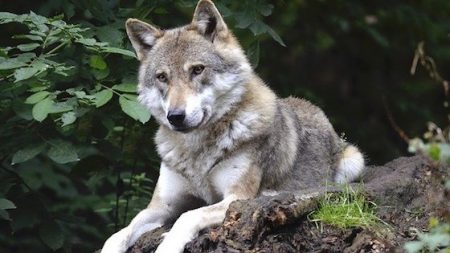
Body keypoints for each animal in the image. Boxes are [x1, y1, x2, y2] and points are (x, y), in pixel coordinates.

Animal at [100, 0, 364, 252]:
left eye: (197, 70)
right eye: (162, 77)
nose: (175, 116)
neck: (197, 152)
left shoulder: (235, 197)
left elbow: (187, 216)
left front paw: (168, 245)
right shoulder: (160, 206)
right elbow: (119, 233)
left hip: (354, 161)